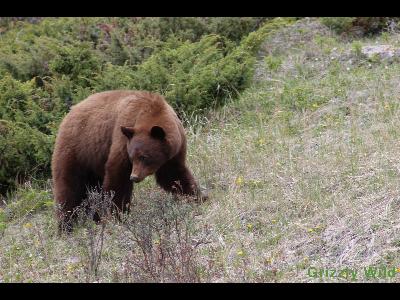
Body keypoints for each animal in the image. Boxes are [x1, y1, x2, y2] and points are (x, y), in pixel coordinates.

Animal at [51, 90, 205, 233]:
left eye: (144, 156)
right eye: (133, 157)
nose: (134, 177)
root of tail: (69, 113)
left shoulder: (173, 154)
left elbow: (173, 176)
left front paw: (198, 196)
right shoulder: (122, 140)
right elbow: (117, 178)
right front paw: (118, 215)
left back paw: (95, 219)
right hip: (77, 150)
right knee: (69, 189)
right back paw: (66, 227)